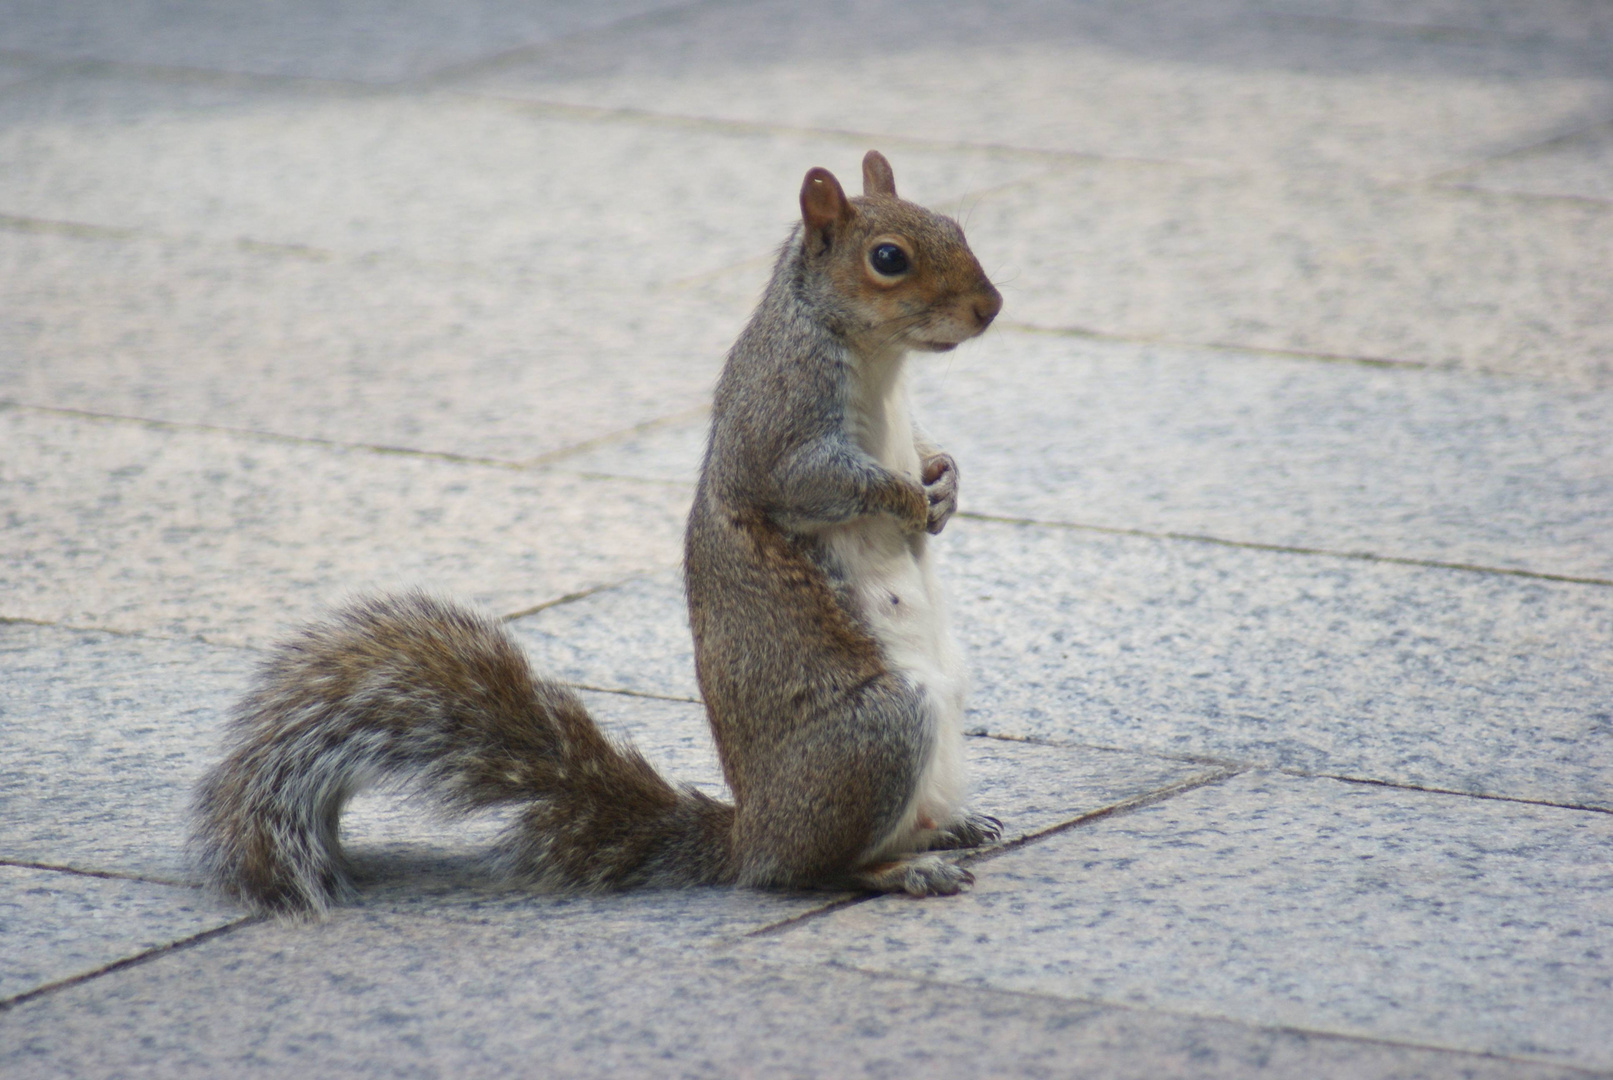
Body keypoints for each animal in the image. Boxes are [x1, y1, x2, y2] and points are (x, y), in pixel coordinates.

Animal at [191, 152, 1006, 915]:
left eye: (956, 225)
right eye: (888, 258)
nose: (990, 308)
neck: (879, 360)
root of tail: (750, 835)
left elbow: (926, 448)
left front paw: (944, 484)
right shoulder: (779, 423)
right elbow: (819, 482)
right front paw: (906, 496)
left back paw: (949, 829)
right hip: (876, 732)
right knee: (813, 871)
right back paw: (900, 869)